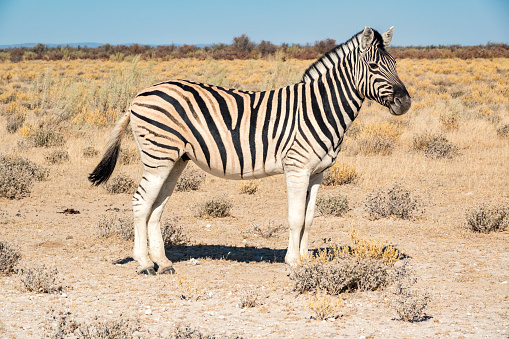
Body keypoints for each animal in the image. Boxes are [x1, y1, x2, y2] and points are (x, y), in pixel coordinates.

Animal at [90, 26, 408, 276]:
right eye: (374, 67)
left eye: (395, 63)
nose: (405, 102)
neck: (321, 108)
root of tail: (139, 95)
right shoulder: (297, 168)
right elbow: (295, 217)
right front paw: (293, 262)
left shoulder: (318, 173)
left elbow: (309, 218)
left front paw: (306, 261)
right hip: (158, 156)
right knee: (141, 202)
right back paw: (144, 263)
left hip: (175, 159)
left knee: (156, 207)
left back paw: (164, 263)